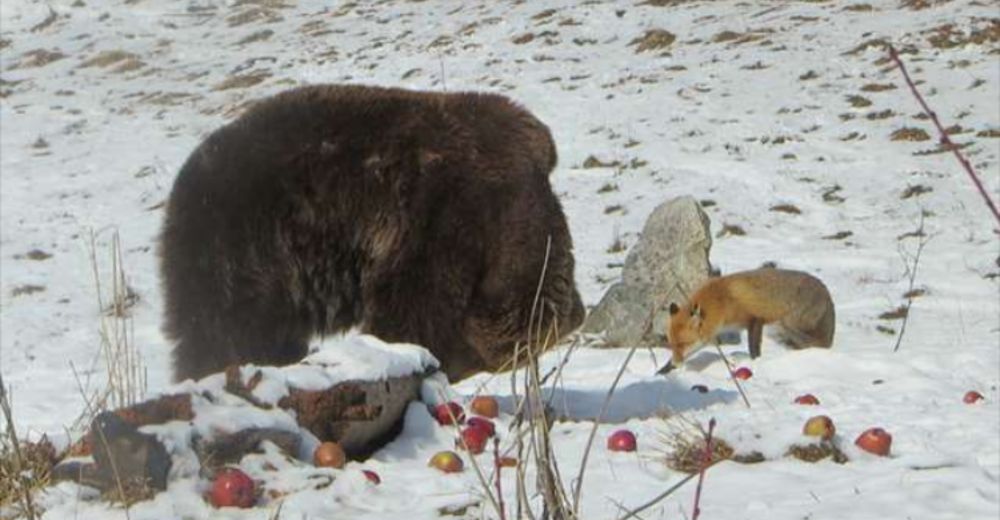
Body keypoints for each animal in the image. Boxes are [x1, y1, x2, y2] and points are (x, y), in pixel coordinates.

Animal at [660, 268, 832, 374]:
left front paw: (755, 362)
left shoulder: (755, 319)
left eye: (683, 344)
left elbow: (754, 349)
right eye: (671, 345)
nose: (675, 364)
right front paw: (663, 370)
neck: (722, 301)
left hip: (787, 323)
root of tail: (827, 293)